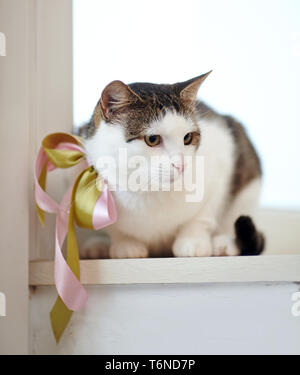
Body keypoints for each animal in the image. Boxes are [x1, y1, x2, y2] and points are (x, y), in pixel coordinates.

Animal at [78, 71, 264, 258]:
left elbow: (203, 214)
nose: (181, 165)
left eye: (187, 137)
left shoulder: (222, 160)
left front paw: (193, 241)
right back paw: (98, 246)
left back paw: (224, 243)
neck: (147, 188)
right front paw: (125, 244)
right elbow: (114, 228)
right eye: (152, 139)